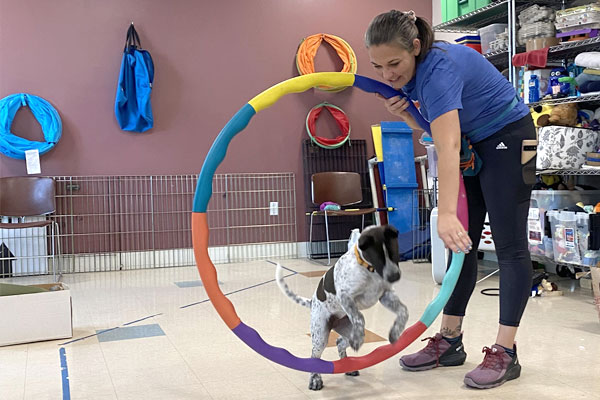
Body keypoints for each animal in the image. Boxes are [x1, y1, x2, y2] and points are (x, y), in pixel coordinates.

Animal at [276, 225, 408, 390]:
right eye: (378, 257)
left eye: (394, 252)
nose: (395, 277)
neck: (368, 269)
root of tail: (312, 302)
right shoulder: (346, 298)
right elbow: (359, 317)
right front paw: (359, 339)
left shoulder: (385, 295)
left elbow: (403, 311)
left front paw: (395, 333)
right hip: (321, 336)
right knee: (314, 356)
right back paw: (315, 379)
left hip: (345, 330)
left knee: (340, 342)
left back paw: (348, 363)